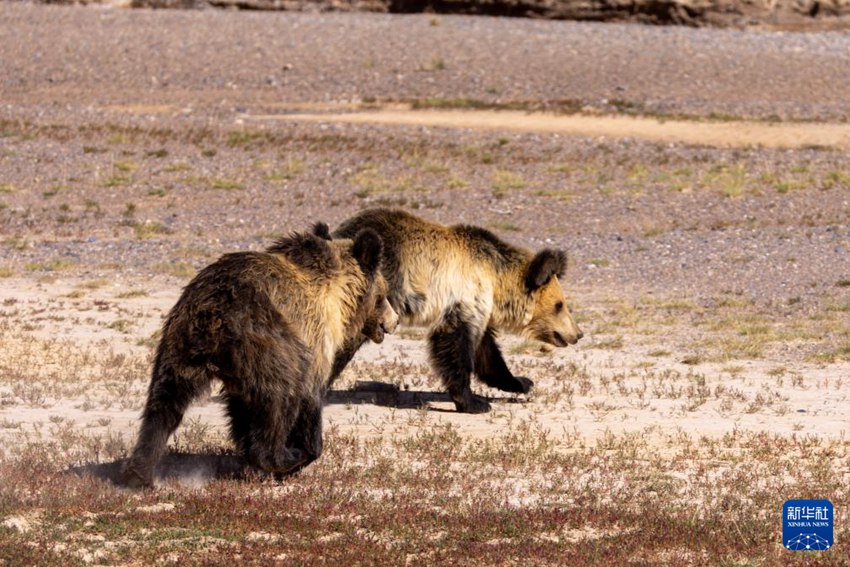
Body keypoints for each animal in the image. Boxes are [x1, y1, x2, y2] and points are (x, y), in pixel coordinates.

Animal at [119, 225, 398, 488]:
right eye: (383, 295)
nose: (394, 321)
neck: (338, 299)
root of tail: (216, 313)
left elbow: (242, 409)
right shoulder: (314, 340)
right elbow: (307, 399)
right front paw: (301, 452)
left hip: (180, 344)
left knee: (164, 405)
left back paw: (139, 473)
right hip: (271, 341)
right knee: (279, 398)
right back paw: (285, 456)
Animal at [332, 207, 584, 412]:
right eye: (559, 305)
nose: (578, 333)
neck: (495, 279)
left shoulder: (480, 308)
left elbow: (487, 351)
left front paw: (520, 382)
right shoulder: (464, 295)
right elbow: (454, 346)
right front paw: (474, 402)